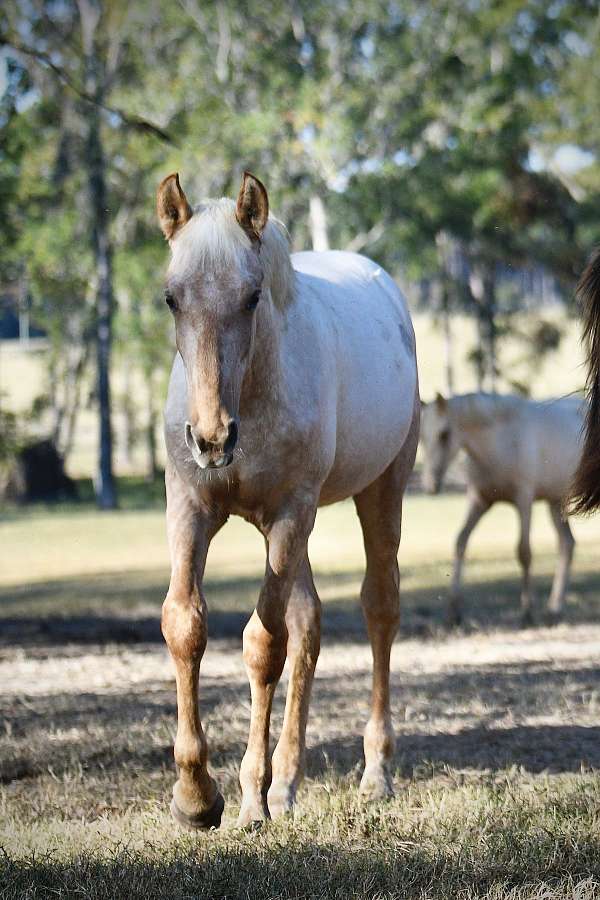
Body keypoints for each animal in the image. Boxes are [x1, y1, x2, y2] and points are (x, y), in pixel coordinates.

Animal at [157, 169, 420, 828]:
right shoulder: (190, 507)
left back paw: (373, 773)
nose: (211, 440)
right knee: (309, 624)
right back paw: (288, 783)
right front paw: (196, 796)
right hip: (295, 530)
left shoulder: (286, 515)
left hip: (378, 492)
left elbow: (262, 645)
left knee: (379, 608)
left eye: (252, 298)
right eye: (172, 298)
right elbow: (185, 624)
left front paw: (247, 797)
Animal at [420, 390, 584, 628]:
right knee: (567, 544)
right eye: (422, 437)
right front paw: (453, 613)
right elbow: (460, 542)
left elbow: (524, 552)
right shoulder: (479, 502)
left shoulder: (524, 500)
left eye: (444, 434)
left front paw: (527, 612)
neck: (501, 440)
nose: (430, 486)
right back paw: (554, 609)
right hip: (555, 503)